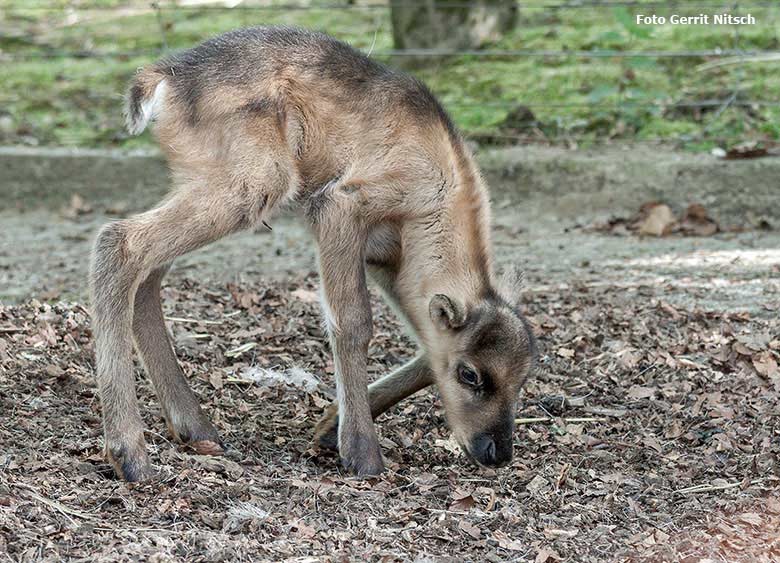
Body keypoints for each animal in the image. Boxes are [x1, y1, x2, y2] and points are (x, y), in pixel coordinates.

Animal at [91, 26, 536, 482]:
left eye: (523, 378)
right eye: (470, 374)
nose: (495, 451)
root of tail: (158, 79)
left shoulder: (387, 263)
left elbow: (425, 346)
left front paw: (327, 427)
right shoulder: (339, 207)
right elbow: (354, 323)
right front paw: (360, 452)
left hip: (199, 183)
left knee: (147, 273)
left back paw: (194, 427)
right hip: (254, 182)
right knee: (119, 240)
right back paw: (130, 454)